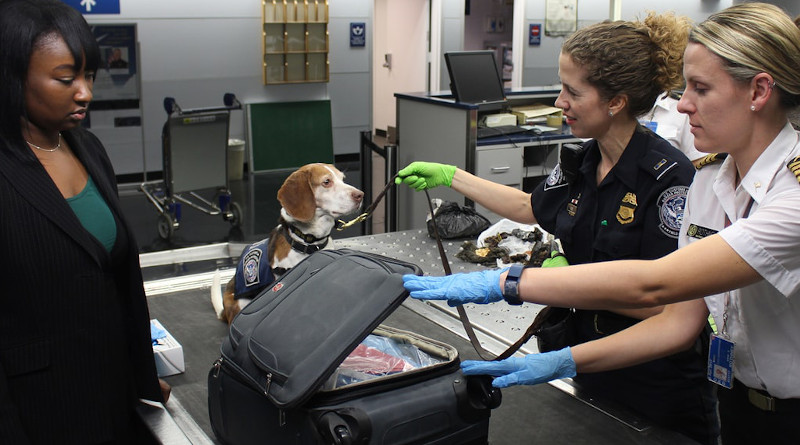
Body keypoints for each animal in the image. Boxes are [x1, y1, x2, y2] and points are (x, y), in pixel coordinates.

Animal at [211, 163, 364, 322]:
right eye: (326, 182)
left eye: (342, 178)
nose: (360, 195)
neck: (310, 242)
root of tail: (224, 311)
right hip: (241, 303)